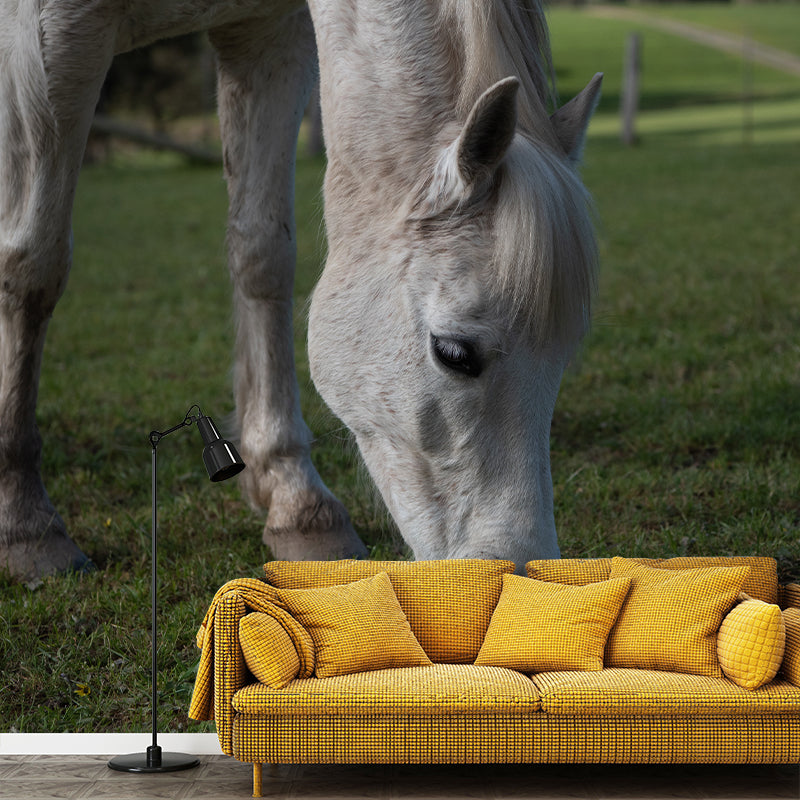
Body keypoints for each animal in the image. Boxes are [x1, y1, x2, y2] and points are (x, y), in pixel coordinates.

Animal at [0, 0, 601, 581]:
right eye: (454, 353)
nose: (520, 571)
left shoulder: (266, 35)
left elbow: (263, 255)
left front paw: (296, 500)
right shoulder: (49, 39)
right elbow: (33, 266)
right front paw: (26, 523)